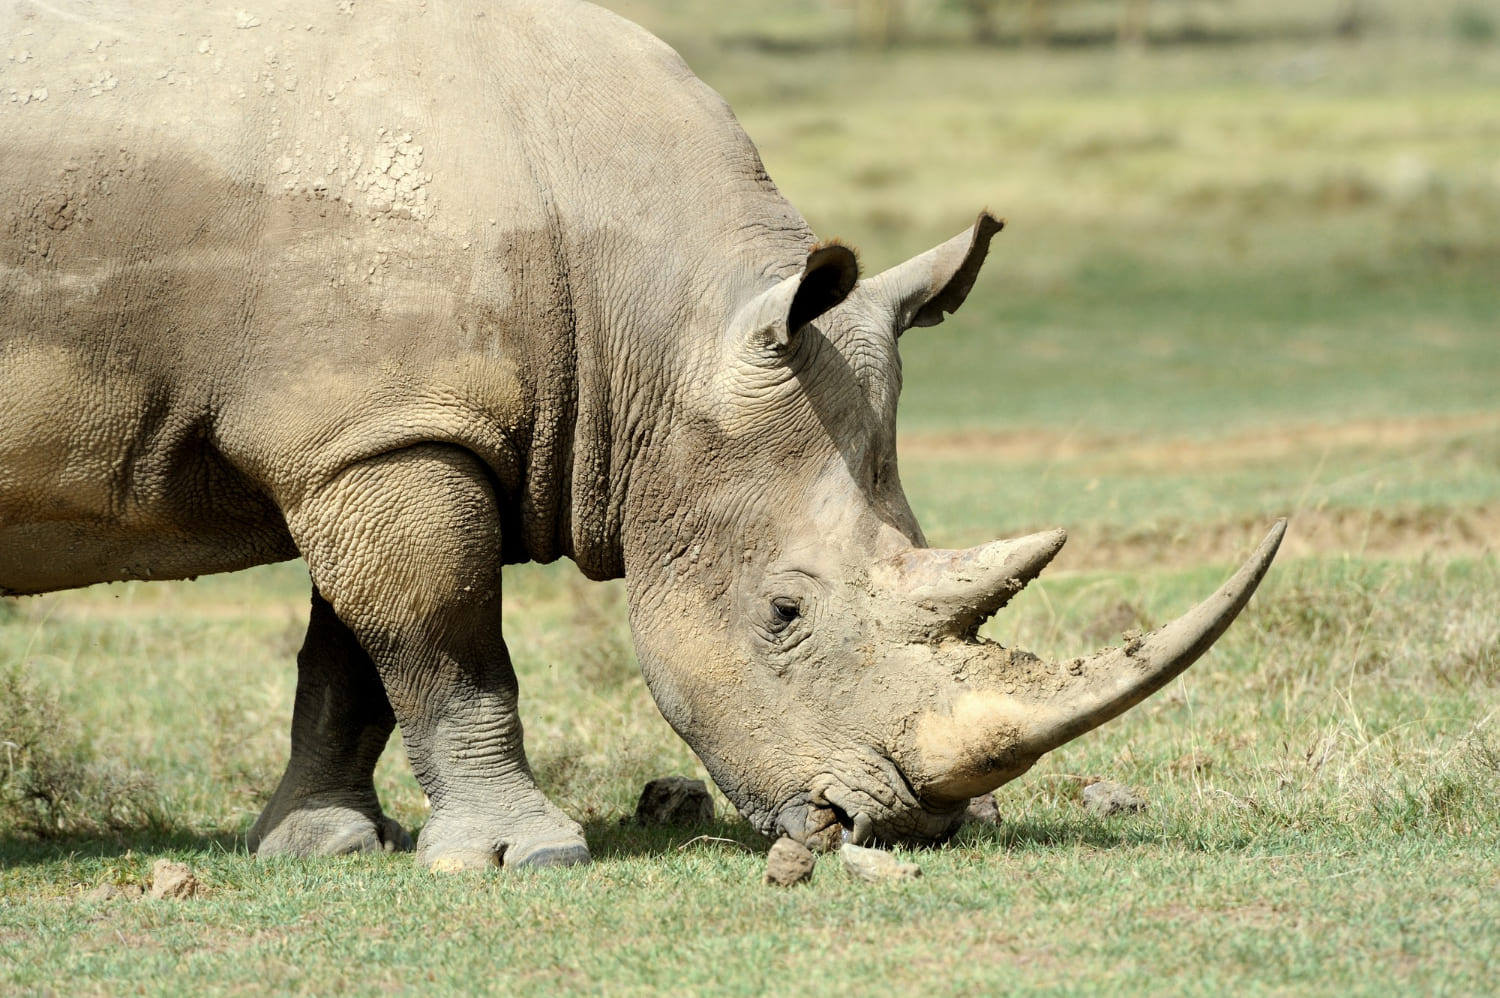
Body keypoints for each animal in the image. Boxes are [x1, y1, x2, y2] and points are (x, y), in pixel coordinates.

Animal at [0, 0, 1283, 869]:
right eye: (783, 613)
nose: (910, 821)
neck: (657, 324)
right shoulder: (380, 432)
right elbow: (443, 636)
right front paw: (523, 854)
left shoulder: (378, 427)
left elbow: (354, 652)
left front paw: (322, 842)